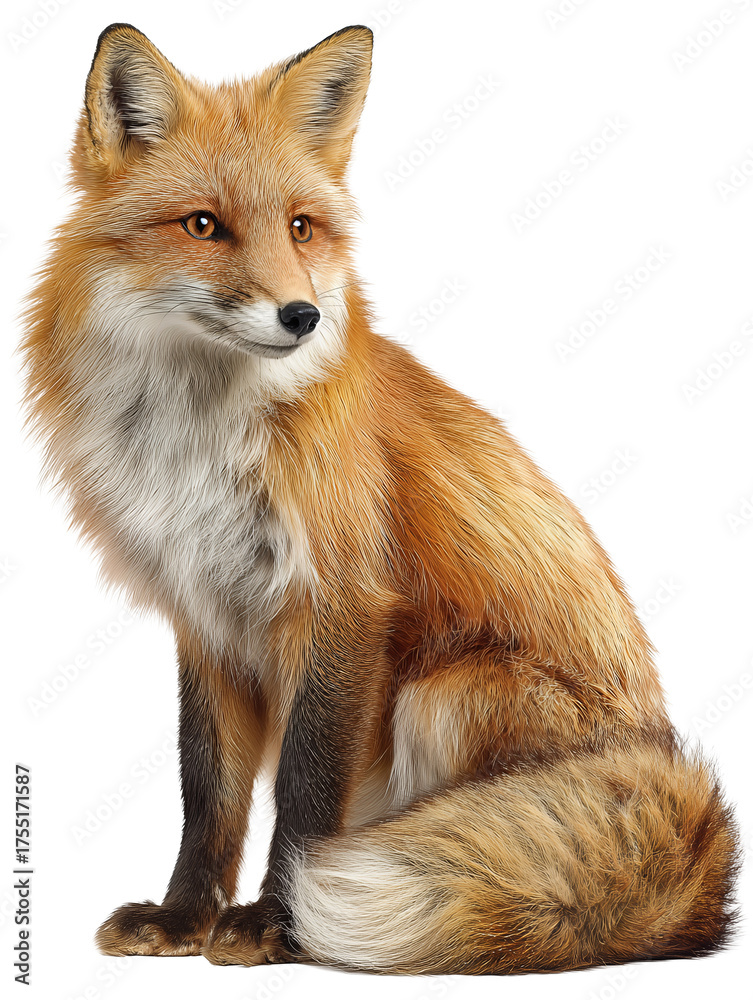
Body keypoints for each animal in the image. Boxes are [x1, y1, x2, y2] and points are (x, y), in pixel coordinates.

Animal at [21, 22, 739, 974]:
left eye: (301, 228)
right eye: (203, 226)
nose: (301, 317)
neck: (197, 440)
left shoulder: (343, 600)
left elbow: (304, 785)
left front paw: (276, 922)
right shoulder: (205, 613)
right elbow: (207, 791)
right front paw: (182, 919)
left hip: (446, 692)